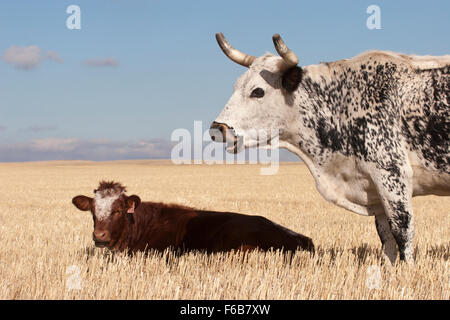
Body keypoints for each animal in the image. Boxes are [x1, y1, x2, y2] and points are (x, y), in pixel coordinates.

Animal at [211, 32, 450, 264]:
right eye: (236, 86)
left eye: (258, 91)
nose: (217, 128)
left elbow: (403, 232)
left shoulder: (393, 175)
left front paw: (408, 270)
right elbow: (386, 238)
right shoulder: (375, 189)